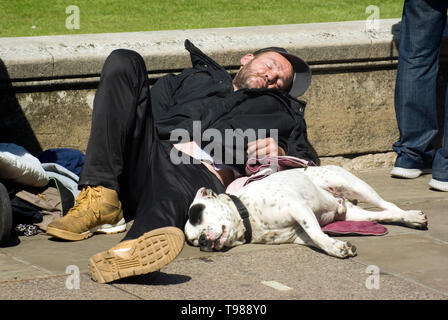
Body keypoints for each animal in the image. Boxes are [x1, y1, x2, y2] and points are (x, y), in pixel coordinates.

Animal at [185, 165, 428, 258]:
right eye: (194, 241)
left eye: (198, 215)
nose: (203, 240)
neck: (248, 217)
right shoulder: (297, 235)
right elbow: (316, 239)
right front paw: (335, 246)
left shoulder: (299, 209)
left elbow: (317, 233)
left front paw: (335, 247)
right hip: (356, 214)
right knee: (383, 214)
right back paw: (410, 218)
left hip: (353, 184)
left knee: (388, 205)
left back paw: (411, 215)